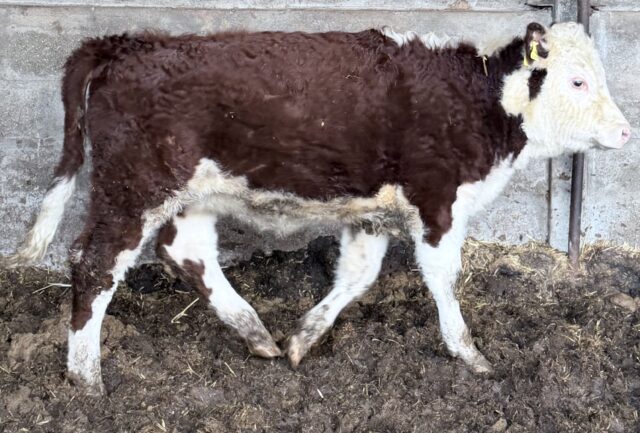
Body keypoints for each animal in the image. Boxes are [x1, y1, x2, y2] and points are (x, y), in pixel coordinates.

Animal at [6, 21, 630, 395]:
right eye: (578, 81)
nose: (626, 133)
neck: (478, 100)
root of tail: (127, 43)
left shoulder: (372, 213)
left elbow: (357, 276)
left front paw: (304, 338)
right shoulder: (438, 202)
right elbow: (443, 277)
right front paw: (469, 354)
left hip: (188, 194)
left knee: (188, 253)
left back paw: (255, 333)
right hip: (132, 187)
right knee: (95, 265)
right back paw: (86, 377)